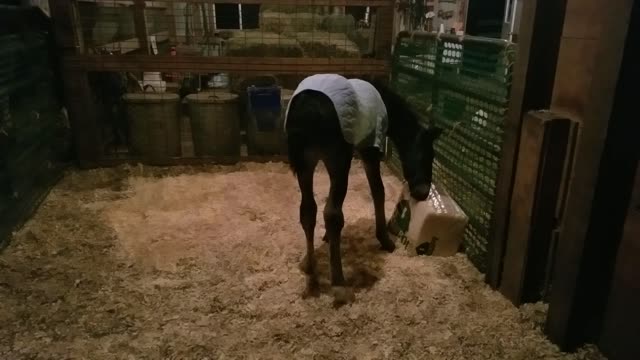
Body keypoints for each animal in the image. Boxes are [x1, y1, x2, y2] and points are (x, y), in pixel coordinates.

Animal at [284, 74, 440, 306]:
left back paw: (310, 267)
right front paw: (384, 239)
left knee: (308, 211)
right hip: (338, 159)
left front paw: (327, 239)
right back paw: (339, 284)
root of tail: (308, 109)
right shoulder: (370, 149)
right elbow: (378, 190)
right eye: (428, 155)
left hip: (305, 163)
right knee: (332, 214)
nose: (422, 192)